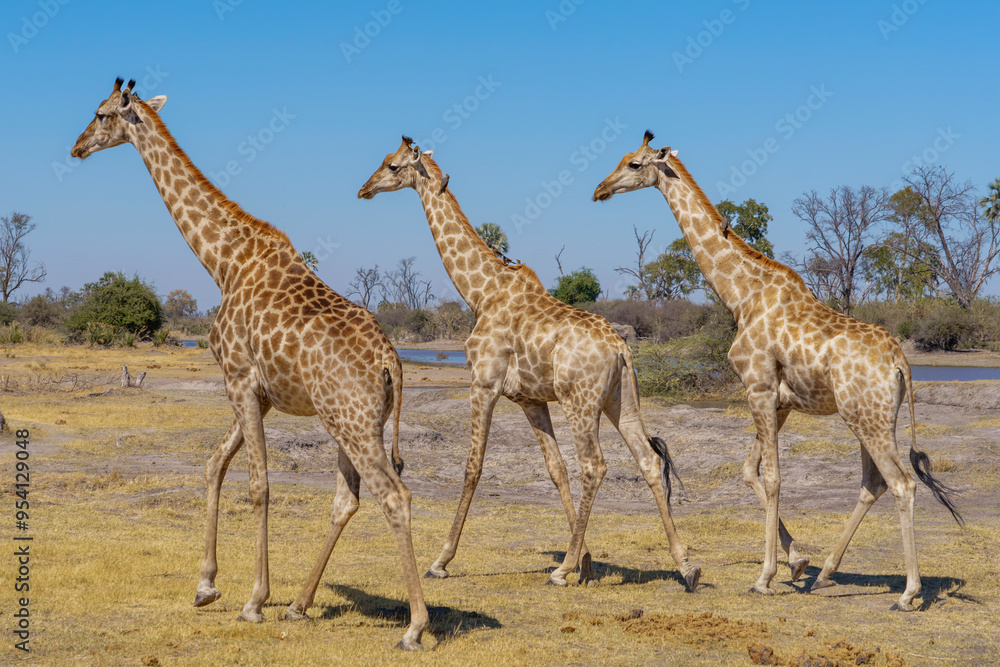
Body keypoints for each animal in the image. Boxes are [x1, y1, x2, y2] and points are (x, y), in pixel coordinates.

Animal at [70, 79, 428, 649]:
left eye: (101, 114)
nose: (76, 148)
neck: (223, 262)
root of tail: (392, 360)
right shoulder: (258, 393)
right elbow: (215, 464)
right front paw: (205, 585)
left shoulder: (236, 377)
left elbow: (259, 484)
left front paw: (254, 601)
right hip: (350, 422)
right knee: (348, 499)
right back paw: (300, 606)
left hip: (352, 423)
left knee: (395, 497)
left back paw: (414, 626)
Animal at [358, 137, 701, 591]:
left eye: (393, 167)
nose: (364, 189)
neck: (480, 292)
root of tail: (621, 349)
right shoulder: (531, 400)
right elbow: (556, 470)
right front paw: (587, 563)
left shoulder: (483, 384)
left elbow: (473, 467)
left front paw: (442, 560)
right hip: (620, 400)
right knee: (647, 460)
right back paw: (686, 565)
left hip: (581, 402)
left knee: (595, 465)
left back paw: (560, 570)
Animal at [593, 131, 962, 611]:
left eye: (634, 164)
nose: (600, 189)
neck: (740, 294)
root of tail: (901, 362)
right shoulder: (781, 400)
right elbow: (749, 471)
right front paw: (798, 561)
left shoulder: (758, 388)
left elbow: (771, 477)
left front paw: (765, 576)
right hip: (874, 418)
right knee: (874, 483)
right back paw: (825, 573)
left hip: (868, 418)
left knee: (902, 484)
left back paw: (907, 592)